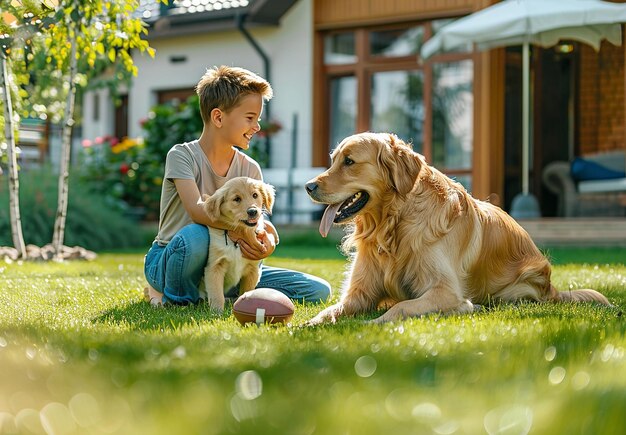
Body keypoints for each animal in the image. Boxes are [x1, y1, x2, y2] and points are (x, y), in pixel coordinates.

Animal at [200, 177, 272, 314]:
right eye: (237, 199)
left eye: (255, 195)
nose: (253, 211)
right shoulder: (214, 267)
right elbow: (217, 294)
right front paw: (216, 312)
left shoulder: (253, 270)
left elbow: (247, 292)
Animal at [304, 132, 608, 324]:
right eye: (333, 160)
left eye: (349, 162)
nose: (308, 186)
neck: (394, 224)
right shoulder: (359, 293)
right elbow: (331, 310)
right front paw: (310, 324)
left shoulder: (445, 290)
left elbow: (402, 307)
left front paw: (374, 322)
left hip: (517, 288)